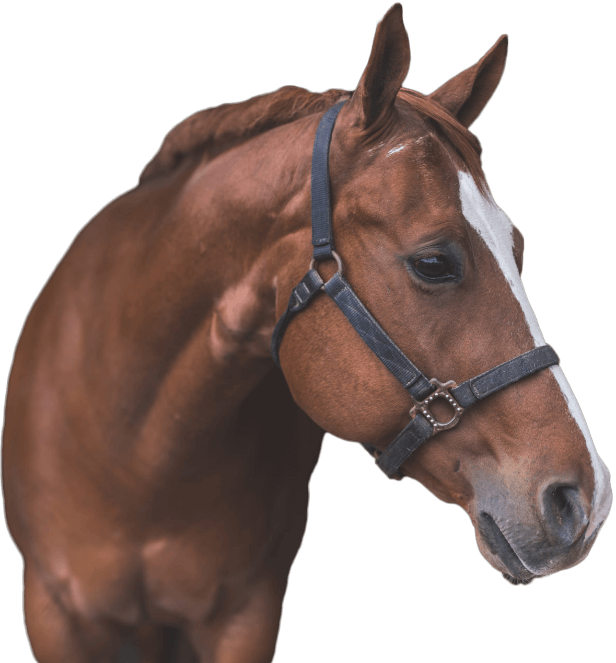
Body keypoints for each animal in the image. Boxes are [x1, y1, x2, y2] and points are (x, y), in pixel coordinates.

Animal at [2, 3, 611, 662]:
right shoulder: (57, 614)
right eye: (432, 262)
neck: (140, 457)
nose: (585, 499)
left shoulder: (244, 614)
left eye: (517, 249)